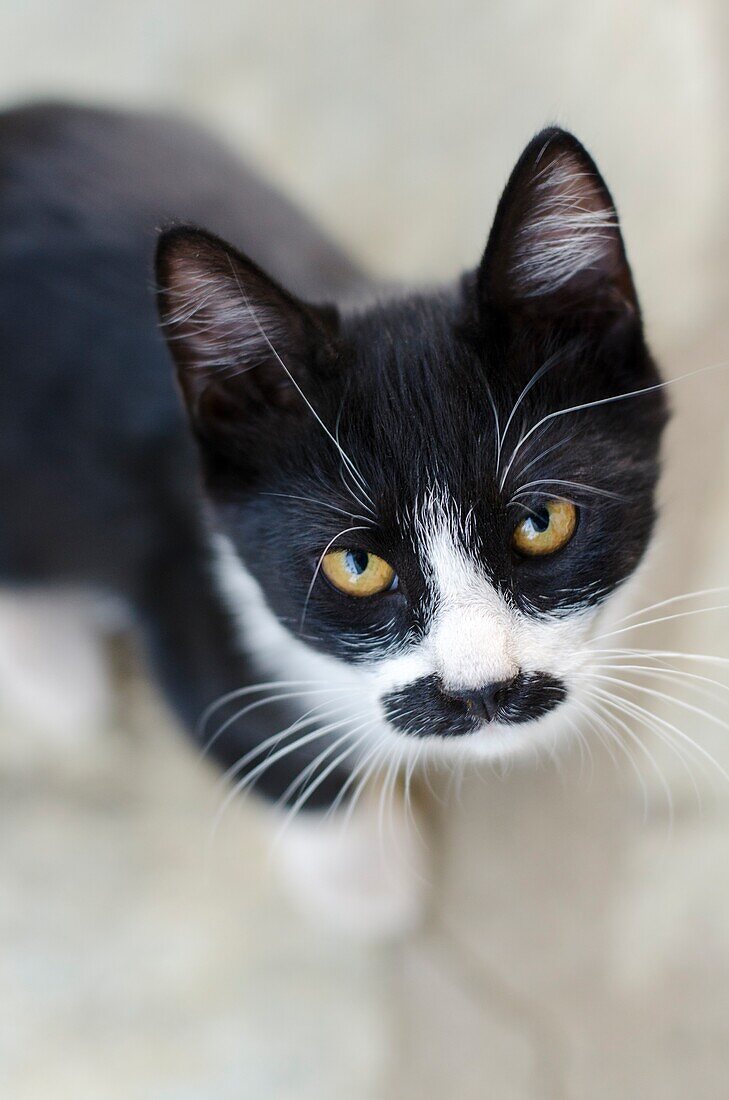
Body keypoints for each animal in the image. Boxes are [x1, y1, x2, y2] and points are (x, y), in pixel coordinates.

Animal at [0, 101, 668, 928]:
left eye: (540, 521)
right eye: (356, 565)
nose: (481, 690)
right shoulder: (178, 579)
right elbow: (260, 739)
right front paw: (364, 879)